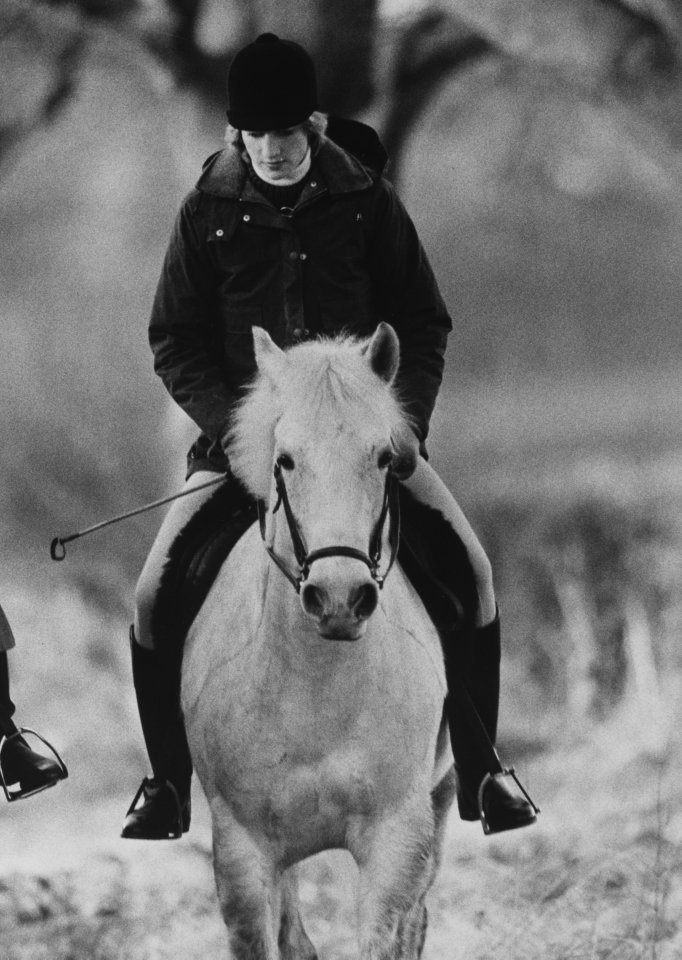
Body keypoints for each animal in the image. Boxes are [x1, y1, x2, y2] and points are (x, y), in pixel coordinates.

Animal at [183, 324, 454, 960]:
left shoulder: (395, 839)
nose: (339, 598)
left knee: (418, 918)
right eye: (284, 459)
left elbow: (387, 936)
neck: (317, 684)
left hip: (442, 798)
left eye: (384, 457)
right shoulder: (243, 850)